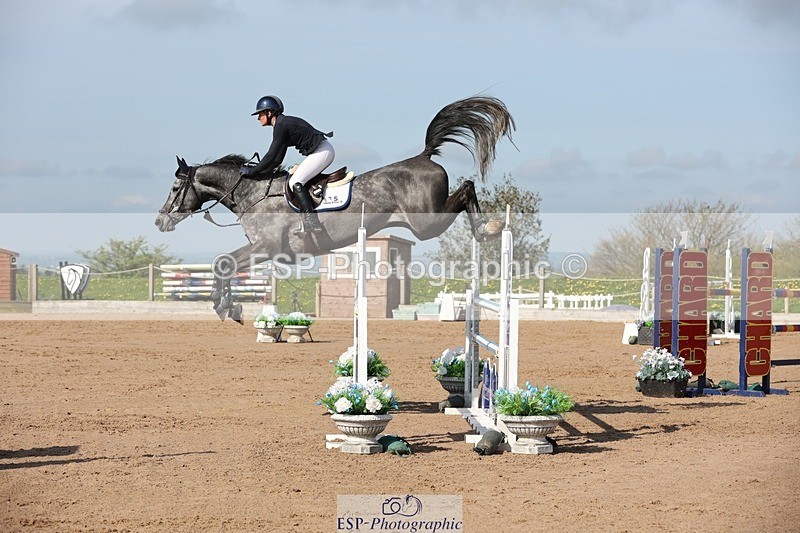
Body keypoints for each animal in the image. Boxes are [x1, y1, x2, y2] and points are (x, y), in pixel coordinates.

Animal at [155, 96, 515, 321]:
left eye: (174, 188)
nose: (160, 222)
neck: (252, 193)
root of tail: (424, 156)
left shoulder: (266, 247)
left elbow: (223, 263)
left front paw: (226, 308)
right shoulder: (264, 250)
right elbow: (223, 264)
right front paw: (227, 307)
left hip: (427, 223)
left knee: (467, 189)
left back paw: (489, 229)